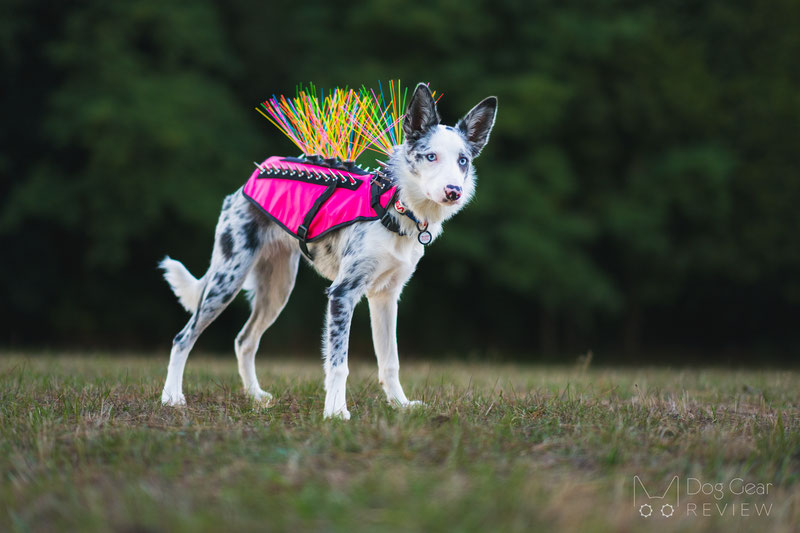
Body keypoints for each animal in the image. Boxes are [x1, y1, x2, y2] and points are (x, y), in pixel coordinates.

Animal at [159, 83, 496, 418]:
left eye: (463, 161)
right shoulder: (342, 294)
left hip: (277, 290)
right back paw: (171, 397)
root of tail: (249, 180)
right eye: (431, 156)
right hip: (227, 279)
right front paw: (335, 413)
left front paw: (400, 405)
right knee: (182, 338)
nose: (454, 192)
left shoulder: (386, 297)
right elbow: (338, 364)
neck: (395, 205)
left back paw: (255, 396)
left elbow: (390, 361)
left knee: (244, 341)